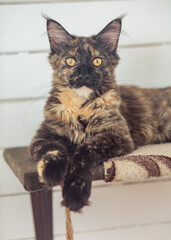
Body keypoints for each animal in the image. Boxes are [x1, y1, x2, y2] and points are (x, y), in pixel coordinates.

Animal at [29, 15, 171, 211]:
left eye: (97, 61)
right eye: (71, 61)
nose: (84, 75)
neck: (80, 107)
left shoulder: (117, 135)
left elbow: (84, 151)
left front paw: (75, 193)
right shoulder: (43, 136)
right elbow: (54, 149)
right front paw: (53, 173)